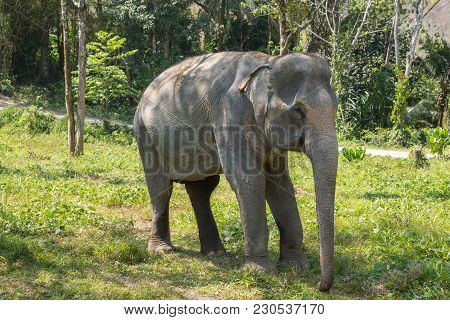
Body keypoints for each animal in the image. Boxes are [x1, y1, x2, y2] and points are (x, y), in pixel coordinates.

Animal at [134, 50, 338, 292]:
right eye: (299, 111)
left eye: (336, 108)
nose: (319, 286)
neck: (267, 63)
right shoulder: (231, 116)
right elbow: (248, 182)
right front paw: (260, 271)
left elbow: (280, 185)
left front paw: (295, 267)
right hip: (145, 135)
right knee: (161, 189)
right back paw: (163, 249)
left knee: (202, 189)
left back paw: (215, 253)